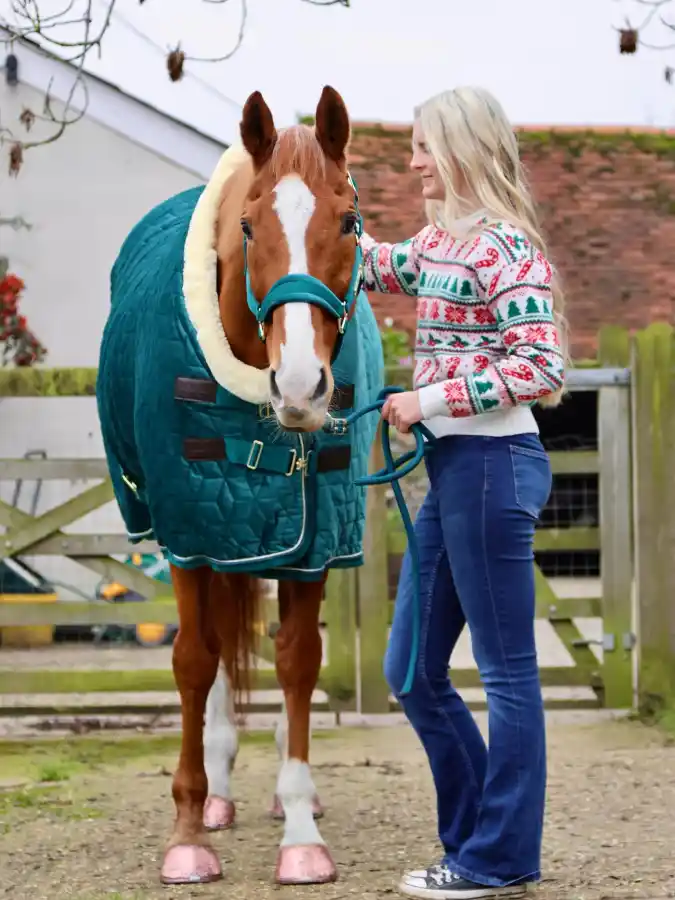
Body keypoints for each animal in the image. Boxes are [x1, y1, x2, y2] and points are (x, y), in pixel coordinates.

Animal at [95, 85, 384, 886]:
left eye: (348, 221)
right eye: (251, 226)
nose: (302, 387)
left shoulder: (314, 544)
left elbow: (296, 662)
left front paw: (301, 832)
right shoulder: (191, 534)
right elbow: (194, 663)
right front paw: (189, 831)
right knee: (216, 655)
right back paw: (218, 794)